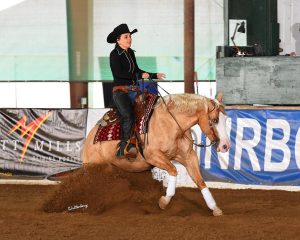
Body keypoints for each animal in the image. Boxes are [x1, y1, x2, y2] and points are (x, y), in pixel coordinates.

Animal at [82, 92, 230, 216]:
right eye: (215, 120)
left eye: (225, 119)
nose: (225, 146)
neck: (172, 124)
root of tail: (90, 137)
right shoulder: (153, 156)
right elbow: (173, 170)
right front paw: (164, 201)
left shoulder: (189, 156)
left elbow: (200, 181)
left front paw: (215, 208)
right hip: (93, 165)